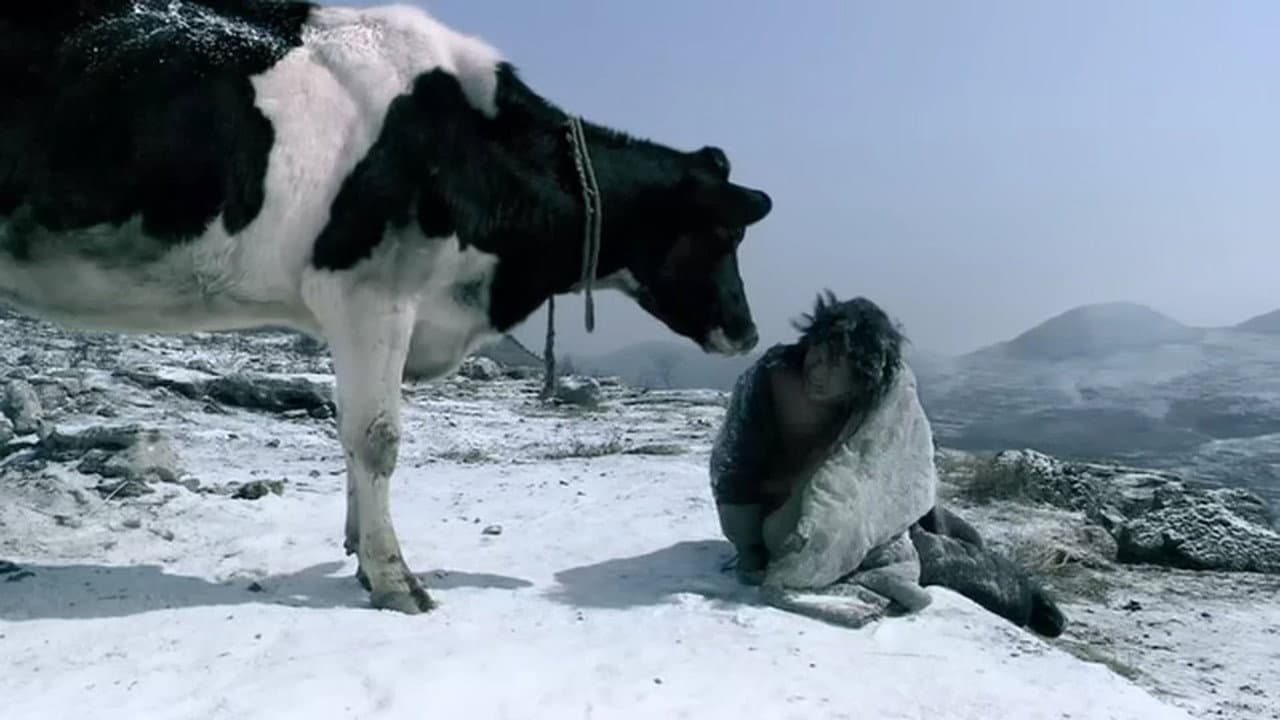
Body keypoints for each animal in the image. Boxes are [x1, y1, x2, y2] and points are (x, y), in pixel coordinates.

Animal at [0, 1, 773, 614]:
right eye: (724, 233)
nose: (747, 332)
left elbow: (348, 429)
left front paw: (355, 546)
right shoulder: (371, 291)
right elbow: (377, 437)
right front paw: (393, 577)